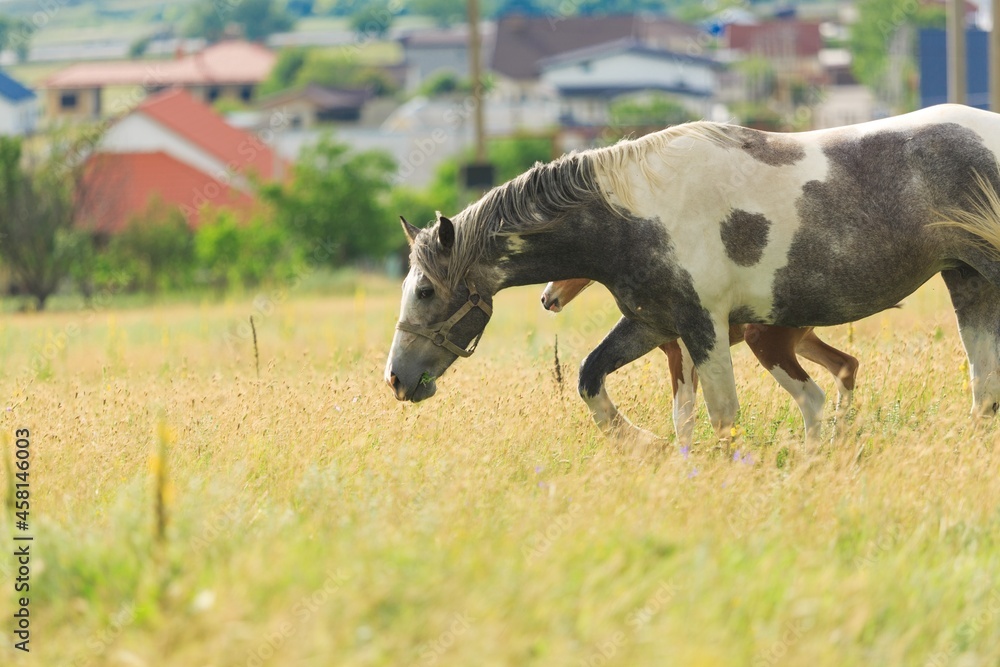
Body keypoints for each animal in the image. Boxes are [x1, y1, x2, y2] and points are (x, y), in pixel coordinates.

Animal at [540, 280, 860, 446]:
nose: (547, 299)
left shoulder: (681, 357)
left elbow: (682, 417)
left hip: (769, 345)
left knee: (813, 396)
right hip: (802, 342)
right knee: (846, 365)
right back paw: (838, 444)